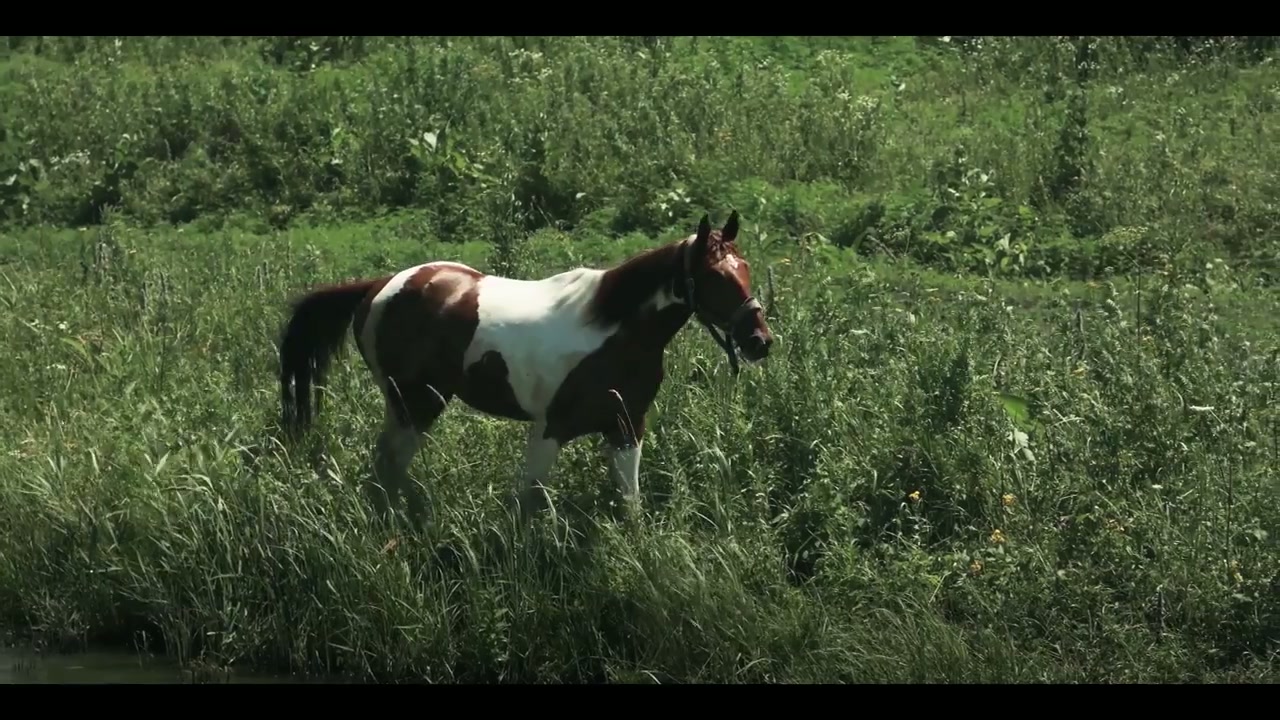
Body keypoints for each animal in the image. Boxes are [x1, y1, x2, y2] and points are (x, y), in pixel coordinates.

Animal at [276, 210, 774, 527]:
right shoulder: (550, 428)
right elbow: (529, 502)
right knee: (387, 466)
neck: (612, 329)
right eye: (716, 277)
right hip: (413, 405)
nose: (760, 341)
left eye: (746, 268)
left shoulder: (626, 426)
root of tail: (379, 286)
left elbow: (628, 504)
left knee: (389, 469)